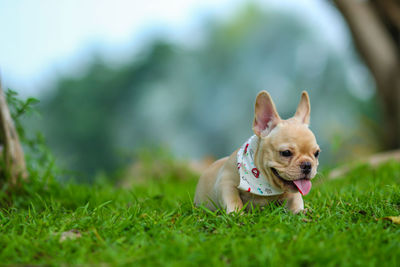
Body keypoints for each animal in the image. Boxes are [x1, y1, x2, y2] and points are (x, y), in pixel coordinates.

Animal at [192, 91, 320, 215]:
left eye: (317, 153)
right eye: (286, 153)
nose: (307, 165)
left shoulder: (292, 192)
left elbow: (295, 199)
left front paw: (300, 211)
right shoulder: (225, 182)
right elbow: (233, 199)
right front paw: (237, 214)